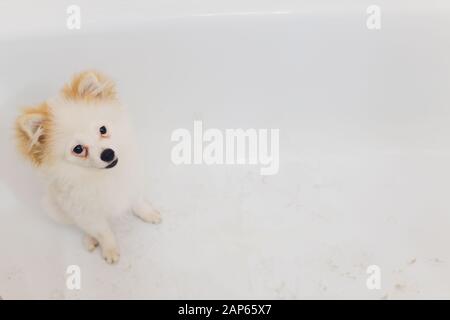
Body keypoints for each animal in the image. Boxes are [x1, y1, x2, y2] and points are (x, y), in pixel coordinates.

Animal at [14, 71, 161, 264]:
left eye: (103, 129)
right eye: (78, 149)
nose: (108, 154)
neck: (104, 176)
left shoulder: (131, 185)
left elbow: (138, 203)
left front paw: (148, 213)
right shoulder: (88, 214)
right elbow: (104, 232)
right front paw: (110, 250)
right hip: (54, 208)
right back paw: (89, 239)